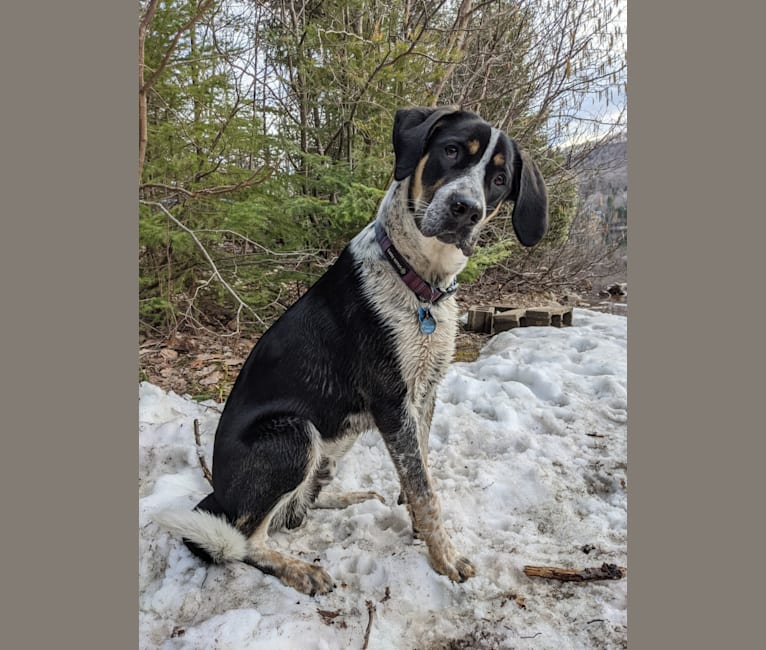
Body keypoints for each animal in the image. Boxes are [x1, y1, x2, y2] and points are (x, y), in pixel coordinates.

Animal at [156, 105, 548, 592]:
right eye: (453, 150)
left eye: (498, 179)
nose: (466, 210)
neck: (419, 284)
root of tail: (217, 497)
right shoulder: (391, 401)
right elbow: (425, 489)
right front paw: (445, 559)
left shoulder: (425, 393)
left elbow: (419, 473)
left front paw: (420, 531)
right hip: (293, 434)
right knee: (247, 539)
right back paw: (299, 568)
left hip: (329, 447)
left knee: (295, 510)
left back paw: (350, 496)